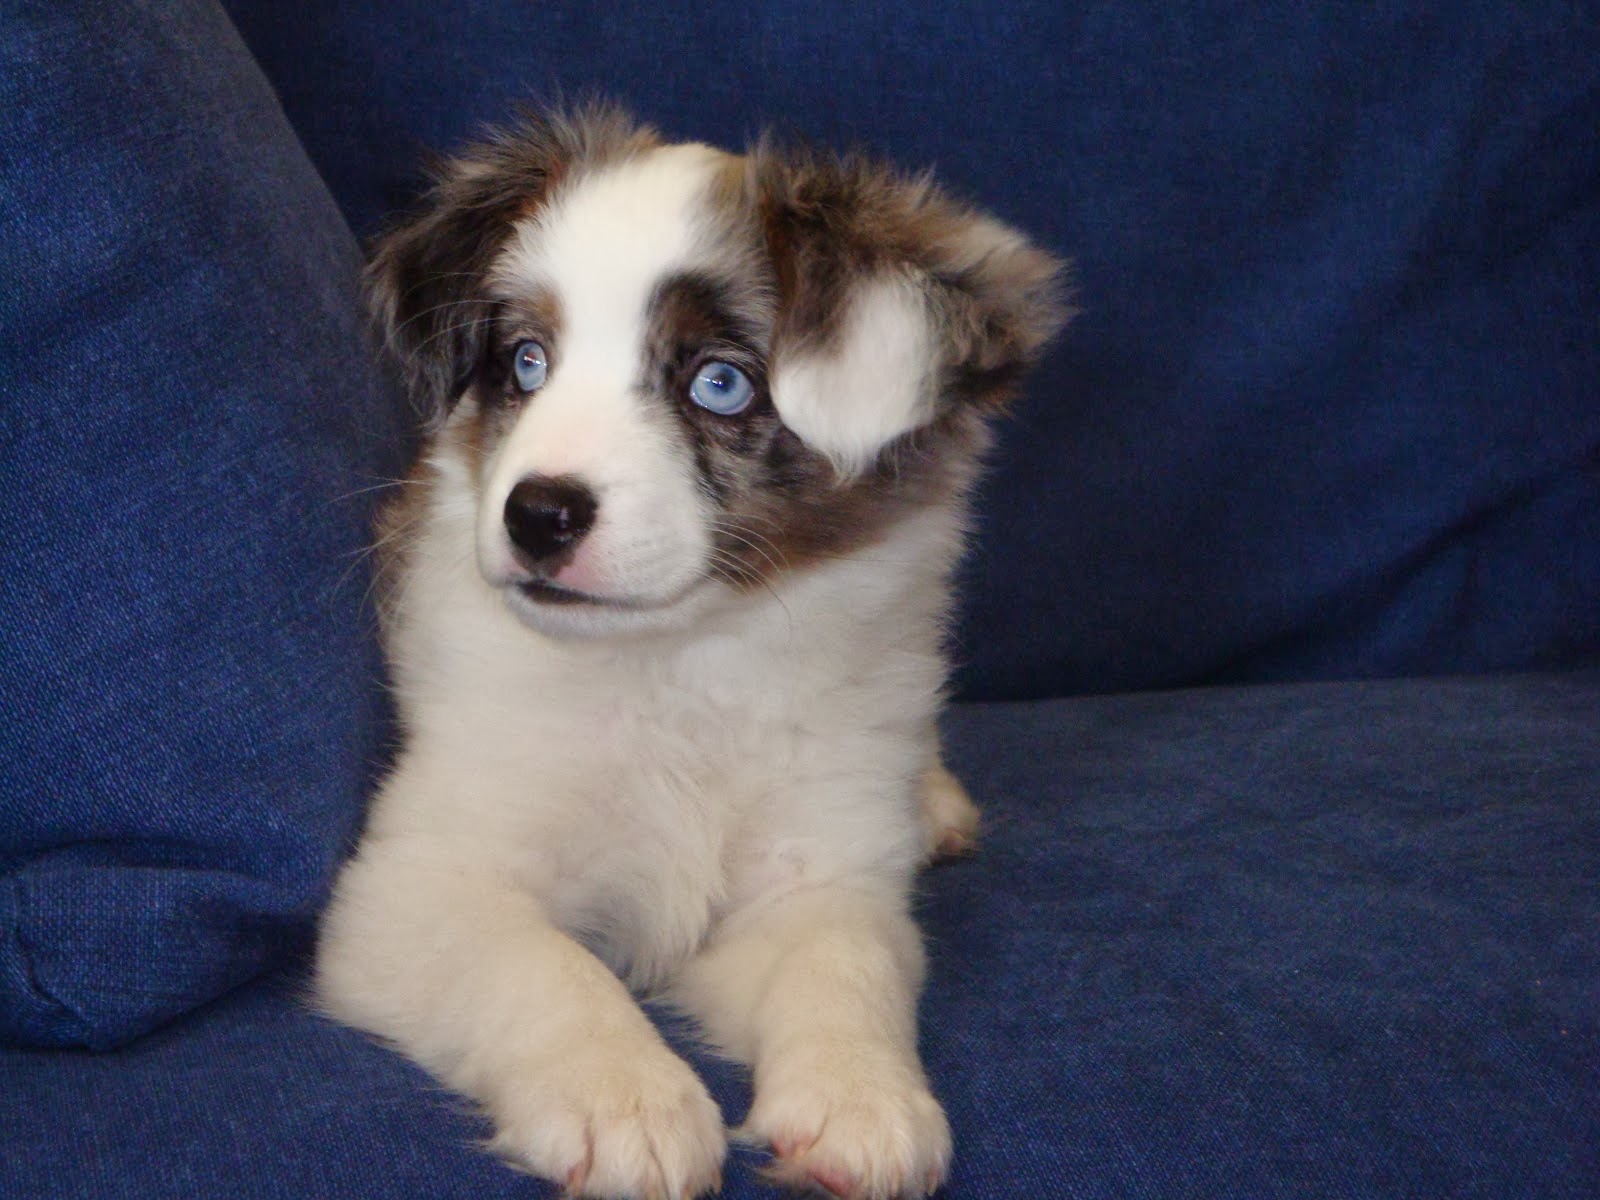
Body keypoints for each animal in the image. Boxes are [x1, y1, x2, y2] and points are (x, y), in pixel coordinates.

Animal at [313, 108, 1068, 1196]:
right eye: (527, 362)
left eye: (719, 383)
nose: (536, 515)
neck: (681, 666)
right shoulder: (415, 885)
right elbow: (548, 968)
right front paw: (624, 1096)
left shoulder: (813, 873)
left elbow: (847, 963)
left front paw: (863, 1096)